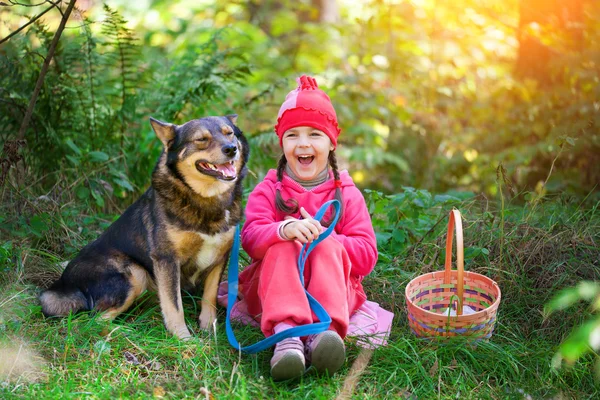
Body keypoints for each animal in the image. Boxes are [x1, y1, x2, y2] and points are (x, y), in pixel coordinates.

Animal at [38, 114, 248, 340]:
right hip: (135, 274)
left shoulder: (220, 257)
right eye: (201, 139)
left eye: (230, 133)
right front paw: (183, 339)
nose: (231, 149)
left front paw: (210, 331)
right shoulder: (166, 259)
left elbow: (209, 298)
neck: (206, 199)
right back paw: (127, 333)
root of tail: (64, 283)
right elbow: (174, 306)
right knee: (89, 322)